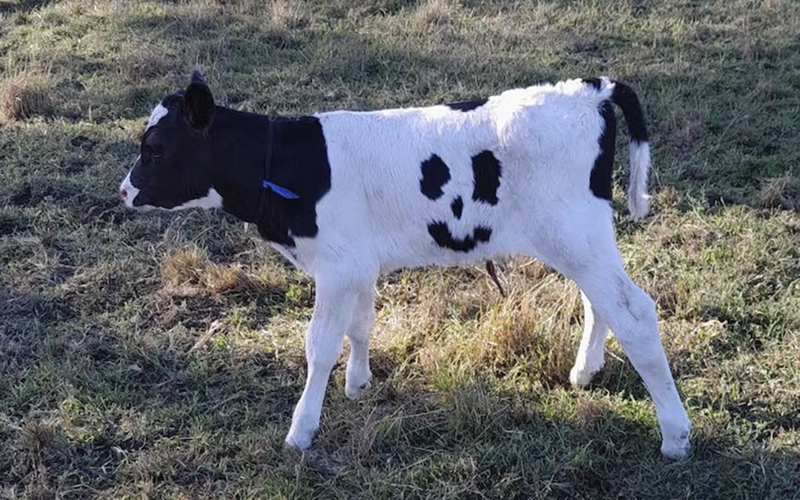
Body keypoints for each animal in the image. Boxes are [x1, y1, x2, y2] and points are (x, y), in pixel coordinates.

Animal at [120, 72, 692, 458]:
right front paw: (358, 384)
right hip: (581, 240)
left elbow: (319, 345)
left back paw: (676, 434)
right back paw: (585, 372)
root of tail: (589, 88)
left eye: (155, 149)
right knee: (605, 303)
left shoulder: (336, 266)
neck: (288, 165)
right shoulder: (357, 262)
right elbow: (360, 323)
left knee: (636, 312)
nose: (124, 191)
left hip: (575, 236)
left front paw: (301, 430)